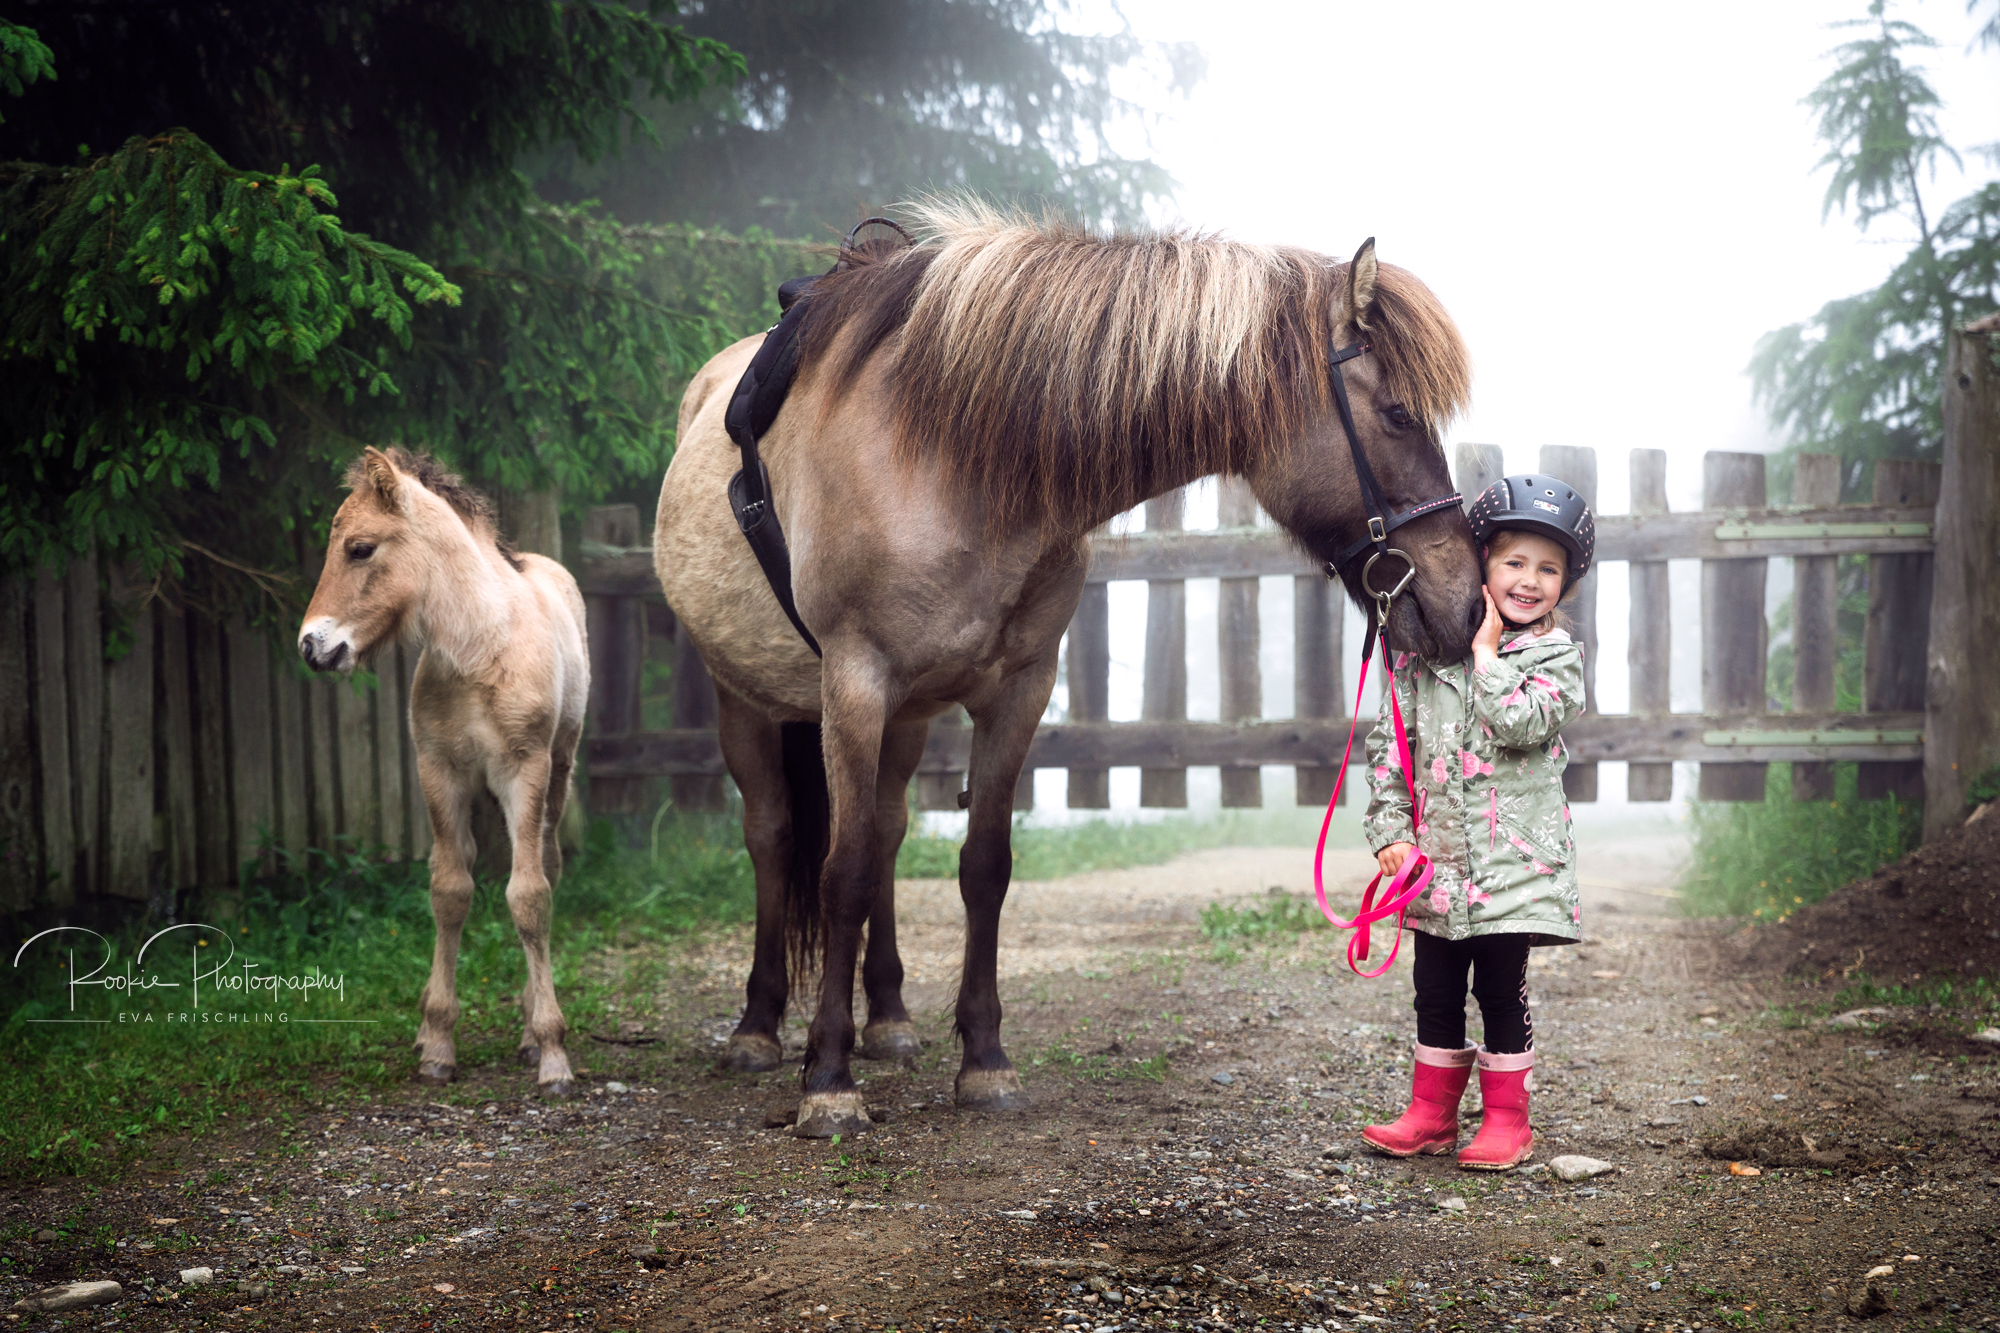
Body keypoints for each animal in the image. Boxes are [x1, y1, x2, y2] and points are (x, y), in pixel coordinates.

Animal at [298, 447, 589, 1099]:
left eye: (360, 548)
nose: (311, 646)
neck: (480, 648)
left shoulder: (524, 770)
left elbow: (529, 896)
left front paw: (553, 1052)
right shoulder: (440, 772)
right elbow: (450, 892)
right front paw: (436, 1043)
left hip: (559, 770)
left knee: (548, 868)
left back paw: (530, 1032)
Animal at [653, 200, 1482, 1137]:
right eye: (1399, 415)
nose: (1465, 602)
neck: (952, 455)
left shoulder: (1018, 691)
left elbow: (982, 865)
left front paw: (983, 1059)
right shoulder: (855, 684)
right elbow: (841, 870)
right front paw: (827, 1076)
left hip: (907, 719)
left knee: (892, 831)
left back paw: (891, 1018)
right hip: (748, 698)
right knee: (775, 836)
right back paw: (759, 1027)